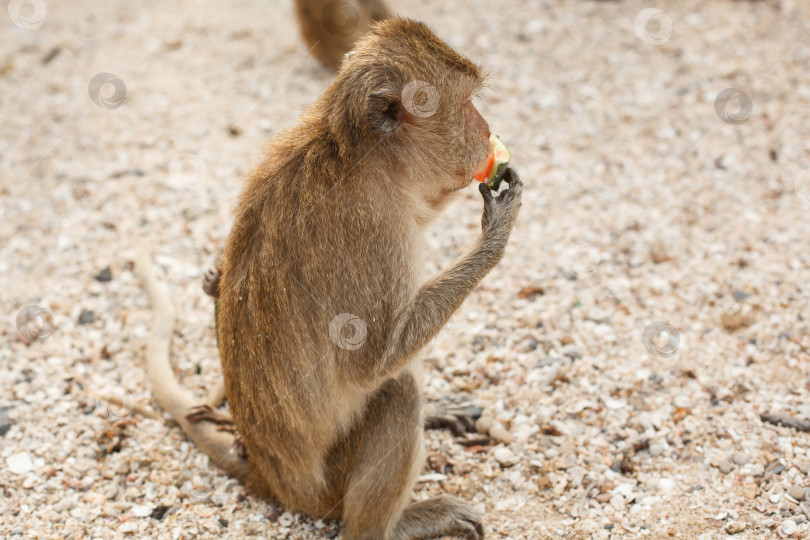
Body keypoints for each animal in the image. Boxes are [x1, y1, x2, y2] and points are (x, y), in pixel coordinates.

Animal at [136, 16, 520, 540]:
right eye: (465, 106)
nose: (485, 130)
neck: (354, 153)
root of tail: (274, 480)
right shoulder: (372, 226)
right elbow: (375, 362)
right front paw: (495, 236)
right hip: (330, 489)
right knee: (397, 392)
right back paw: (392, 525)